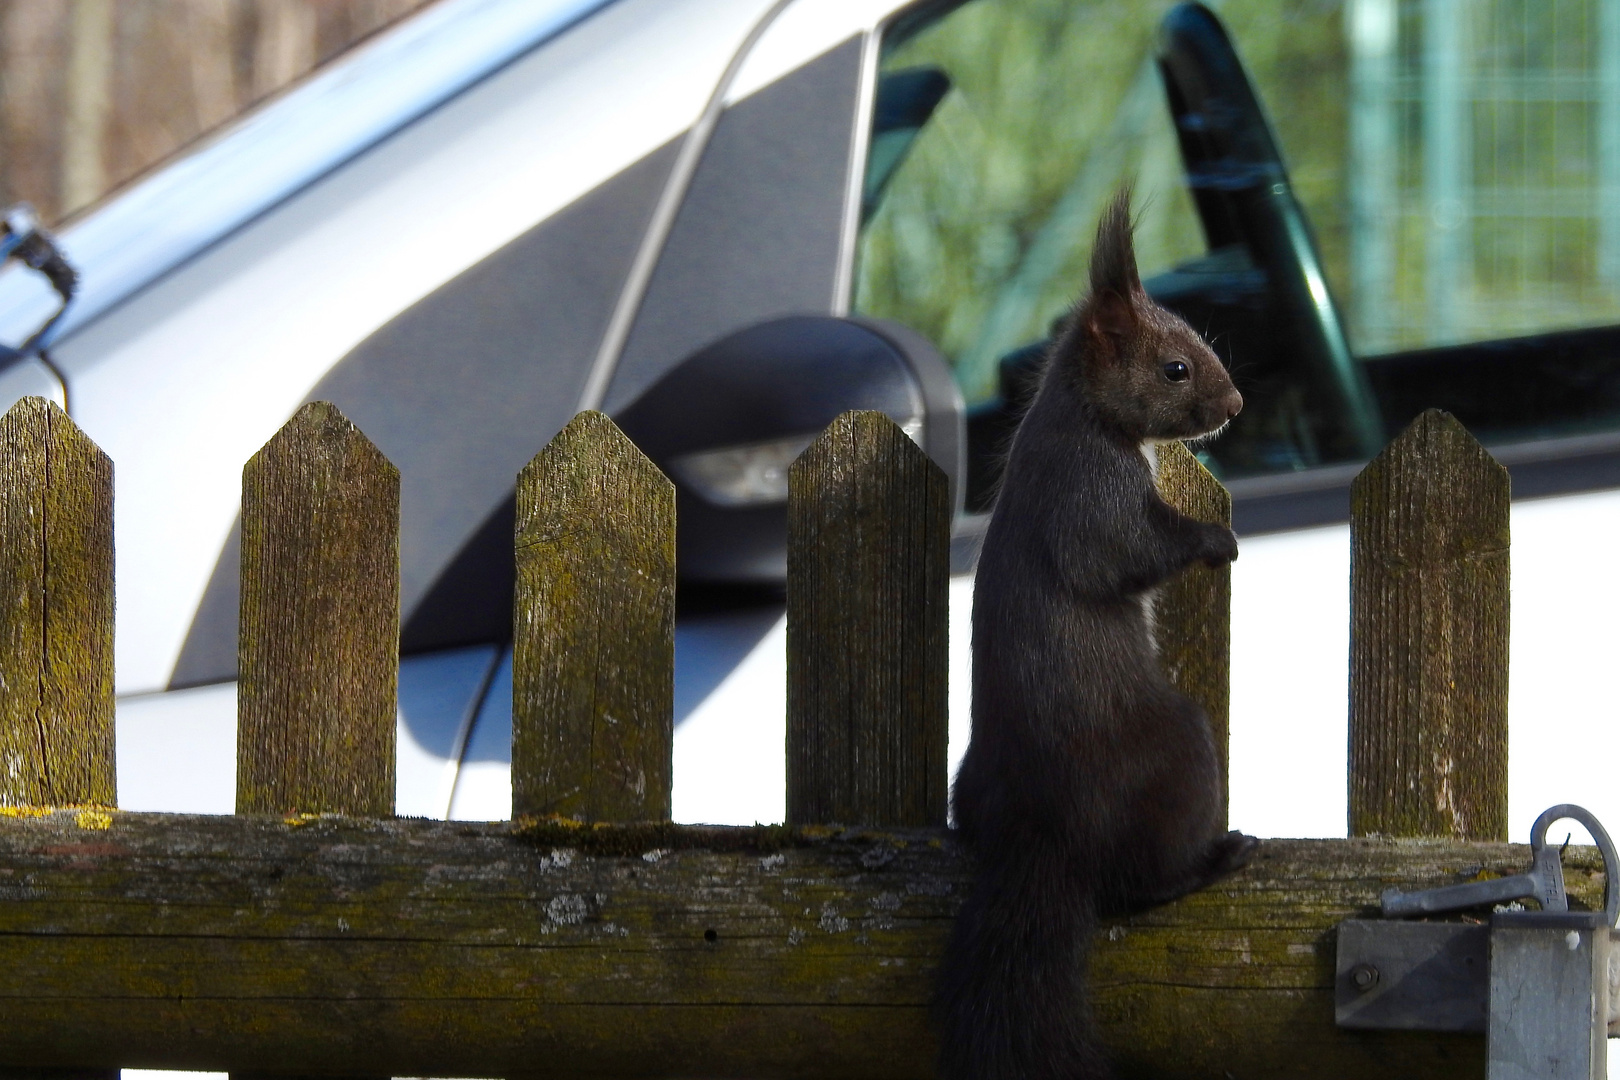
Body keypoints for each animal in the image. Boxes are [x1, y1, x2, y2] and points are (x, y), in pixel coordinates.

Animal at [939, 190, 1250, 1075]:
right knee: (1134, 886)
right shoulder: (1094, 494)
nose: (1235, 408)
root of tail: (1048, 835)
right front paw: (1216, 541)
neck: (1087, 418)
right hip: (1178, 758)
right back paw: (1213, 860)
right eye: (1175, 368)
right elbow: (1130, 551)